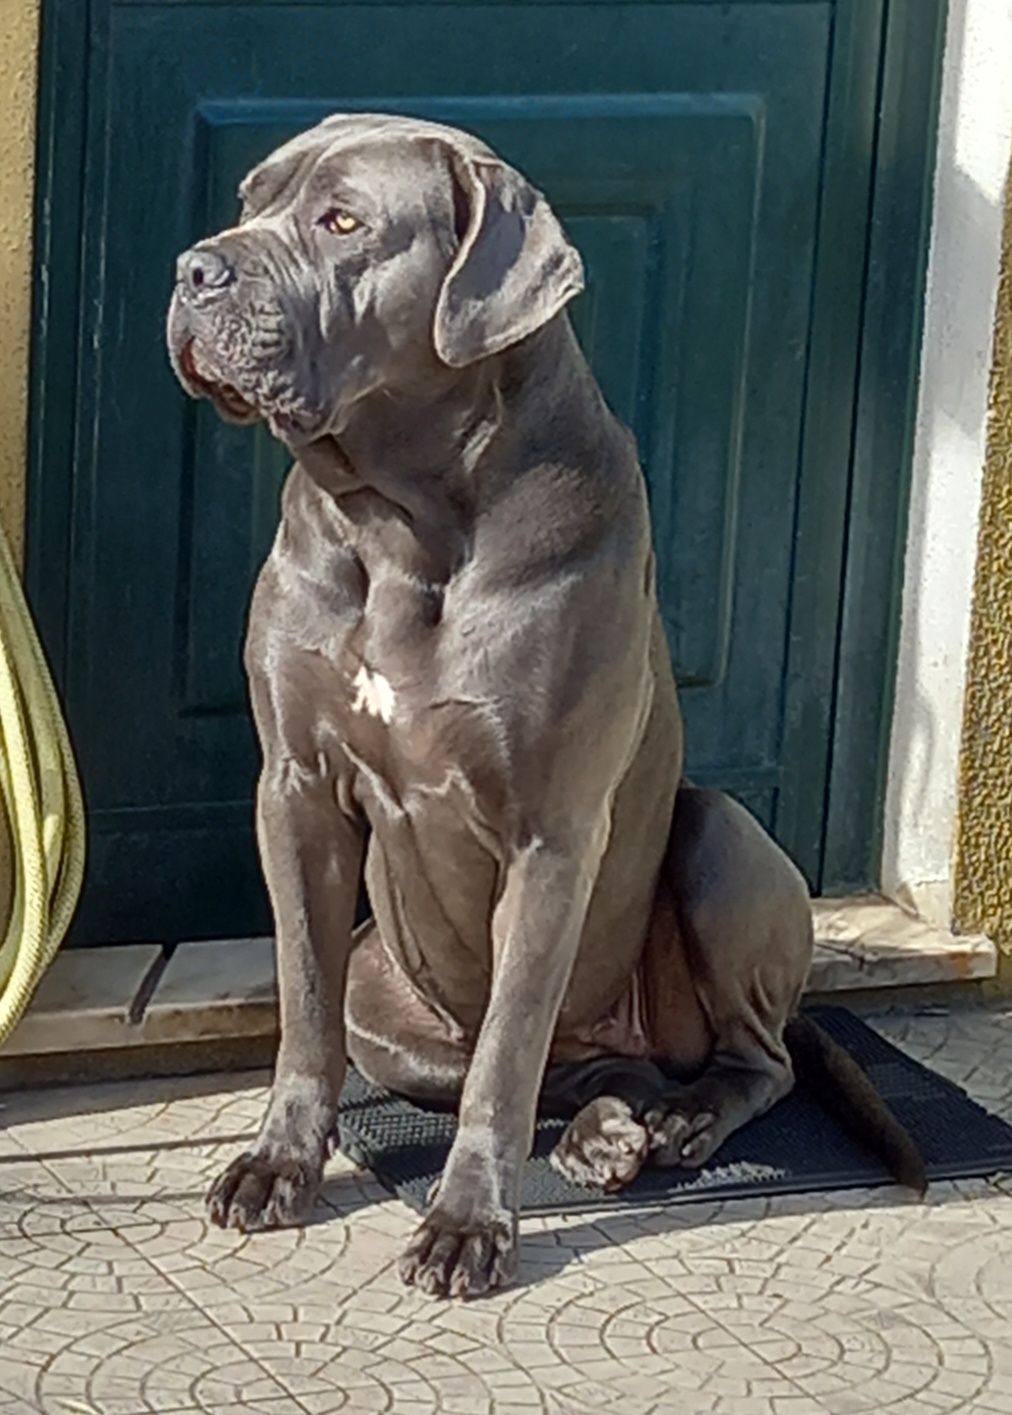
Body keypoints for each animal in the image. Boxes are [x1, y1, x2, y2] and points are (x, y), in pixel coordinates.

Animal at [168, 116, 928, 1296]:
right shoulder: (293, 789)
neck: (402, 519)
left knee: (742, 1056)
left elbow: (507, 1048)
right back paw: (609, 1129)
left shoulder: (550, 833)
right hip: (387, 995)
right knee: (558, 1066)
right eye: (251, 199)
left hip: (722, 838)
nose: (194, 268)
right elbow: (303, 1001)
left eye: (342, 221)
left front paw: (468, 1222)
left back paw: (679, 1120)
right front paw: (277, 1163)